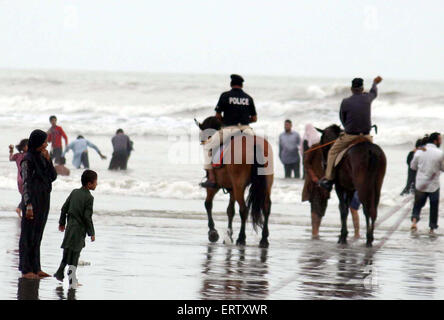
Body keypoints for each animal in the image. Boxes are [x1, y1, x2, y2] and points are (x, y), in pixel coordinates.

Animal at [195, 117, 272, 248]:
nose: (202, 142)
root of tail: (253, 143)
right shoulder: (232, 188)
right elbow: (230, 210)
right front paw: (229, 234)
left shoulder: (215, 186)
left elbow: (208, 204)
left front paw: (213, 232)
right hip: (266, 184)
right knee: (266, 207)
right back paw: (263, 239)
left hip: (239, 184)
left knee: (244, 209)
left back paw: (241, 238)